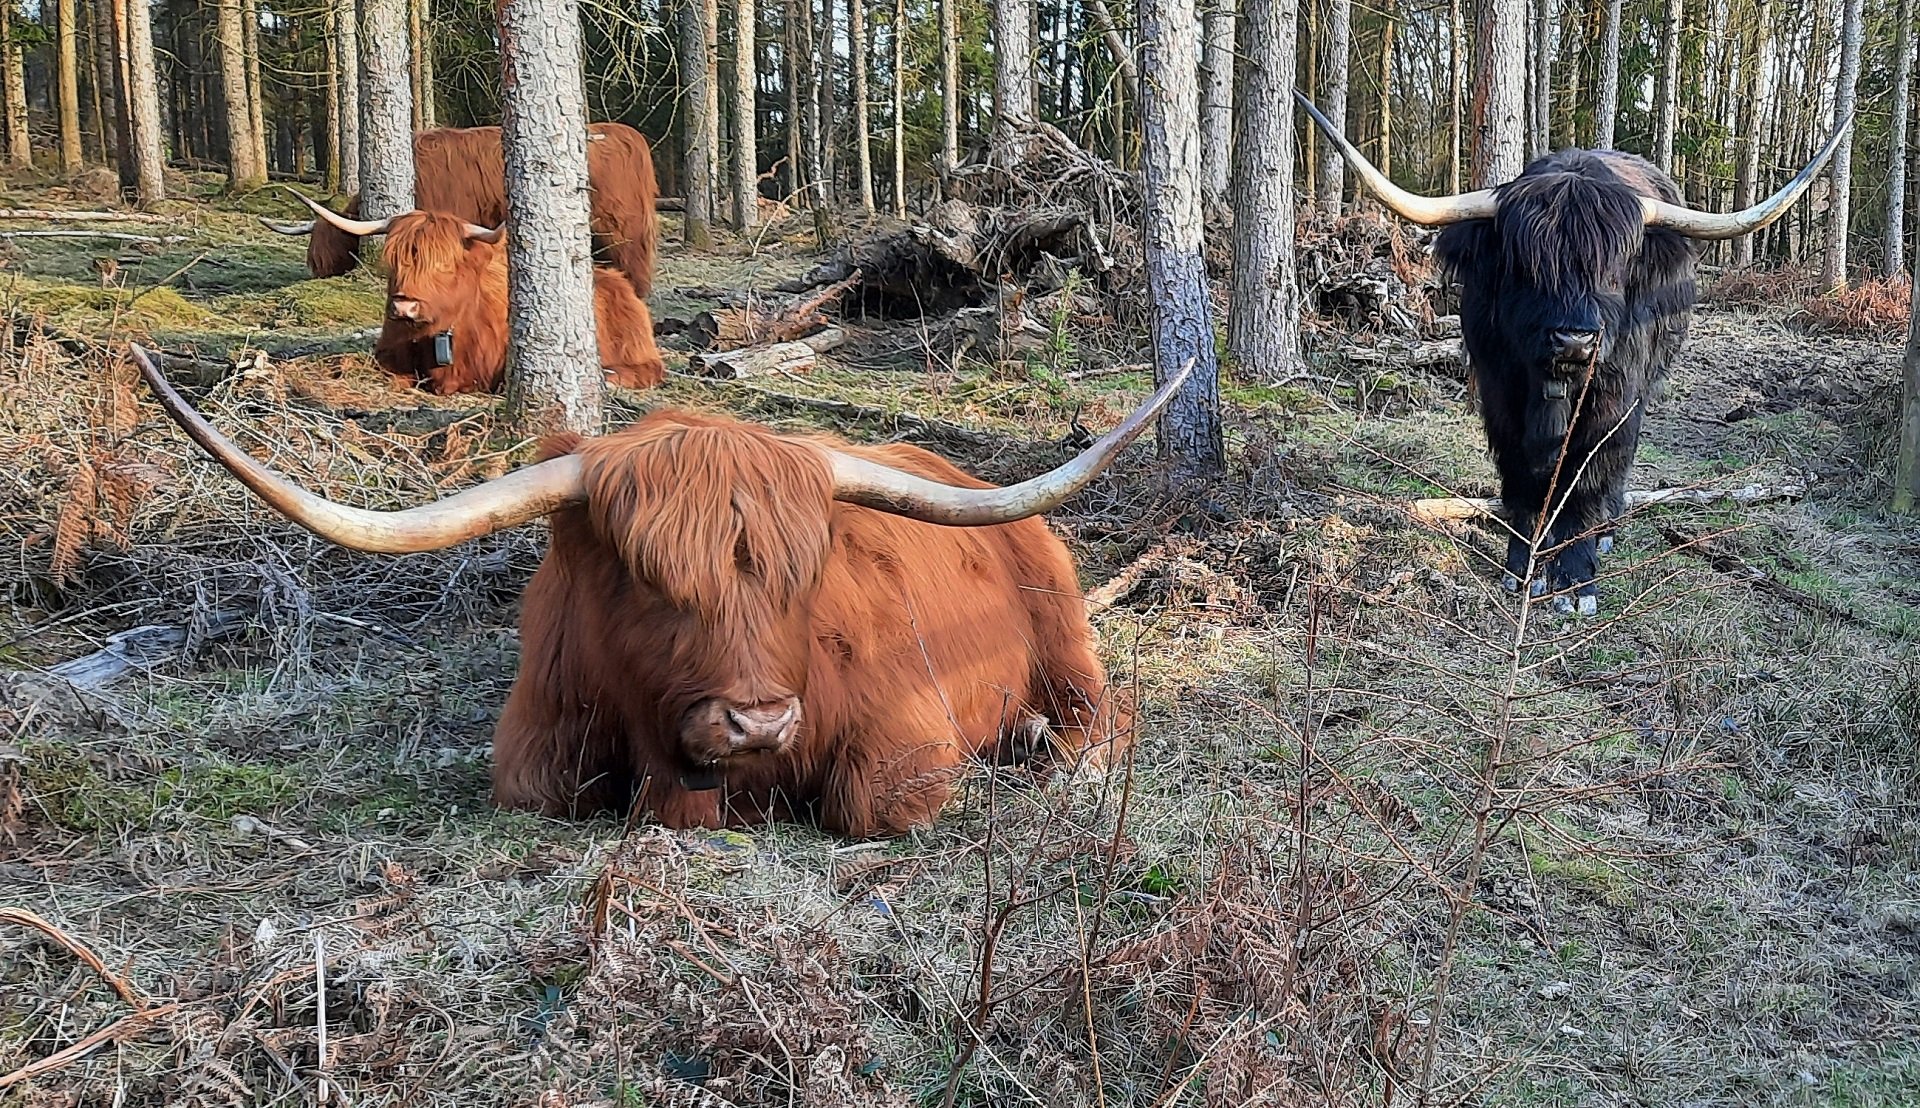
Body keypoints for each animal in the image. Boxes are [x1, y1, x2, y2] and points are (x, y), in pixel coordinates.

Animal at [1297, 91, 1850, 614]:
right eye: (1526, 262)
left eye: (1616, 264)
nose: (1574, 340)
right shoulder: (1499, 392)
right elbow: (1521, 477)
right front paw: (1522, 564)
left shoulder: (1615, 396)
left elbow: (1589, 475)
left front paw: (1575, 578)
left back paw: (1606, 531)